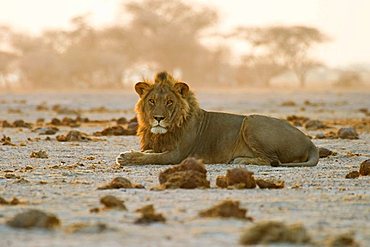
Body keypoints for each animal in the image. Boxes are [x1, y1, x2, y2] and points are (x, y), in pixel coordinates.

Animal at [117, 72, 320, 168]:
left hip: (251, 122)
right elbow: (149, 152)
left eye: (169, 102)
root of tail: (310, 143)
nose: (158, 118)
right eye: (151, 101)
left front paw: (126, 157)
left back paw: (241, 161)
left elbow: (152, 157)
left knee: (272, 160)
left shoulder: (178, 155)